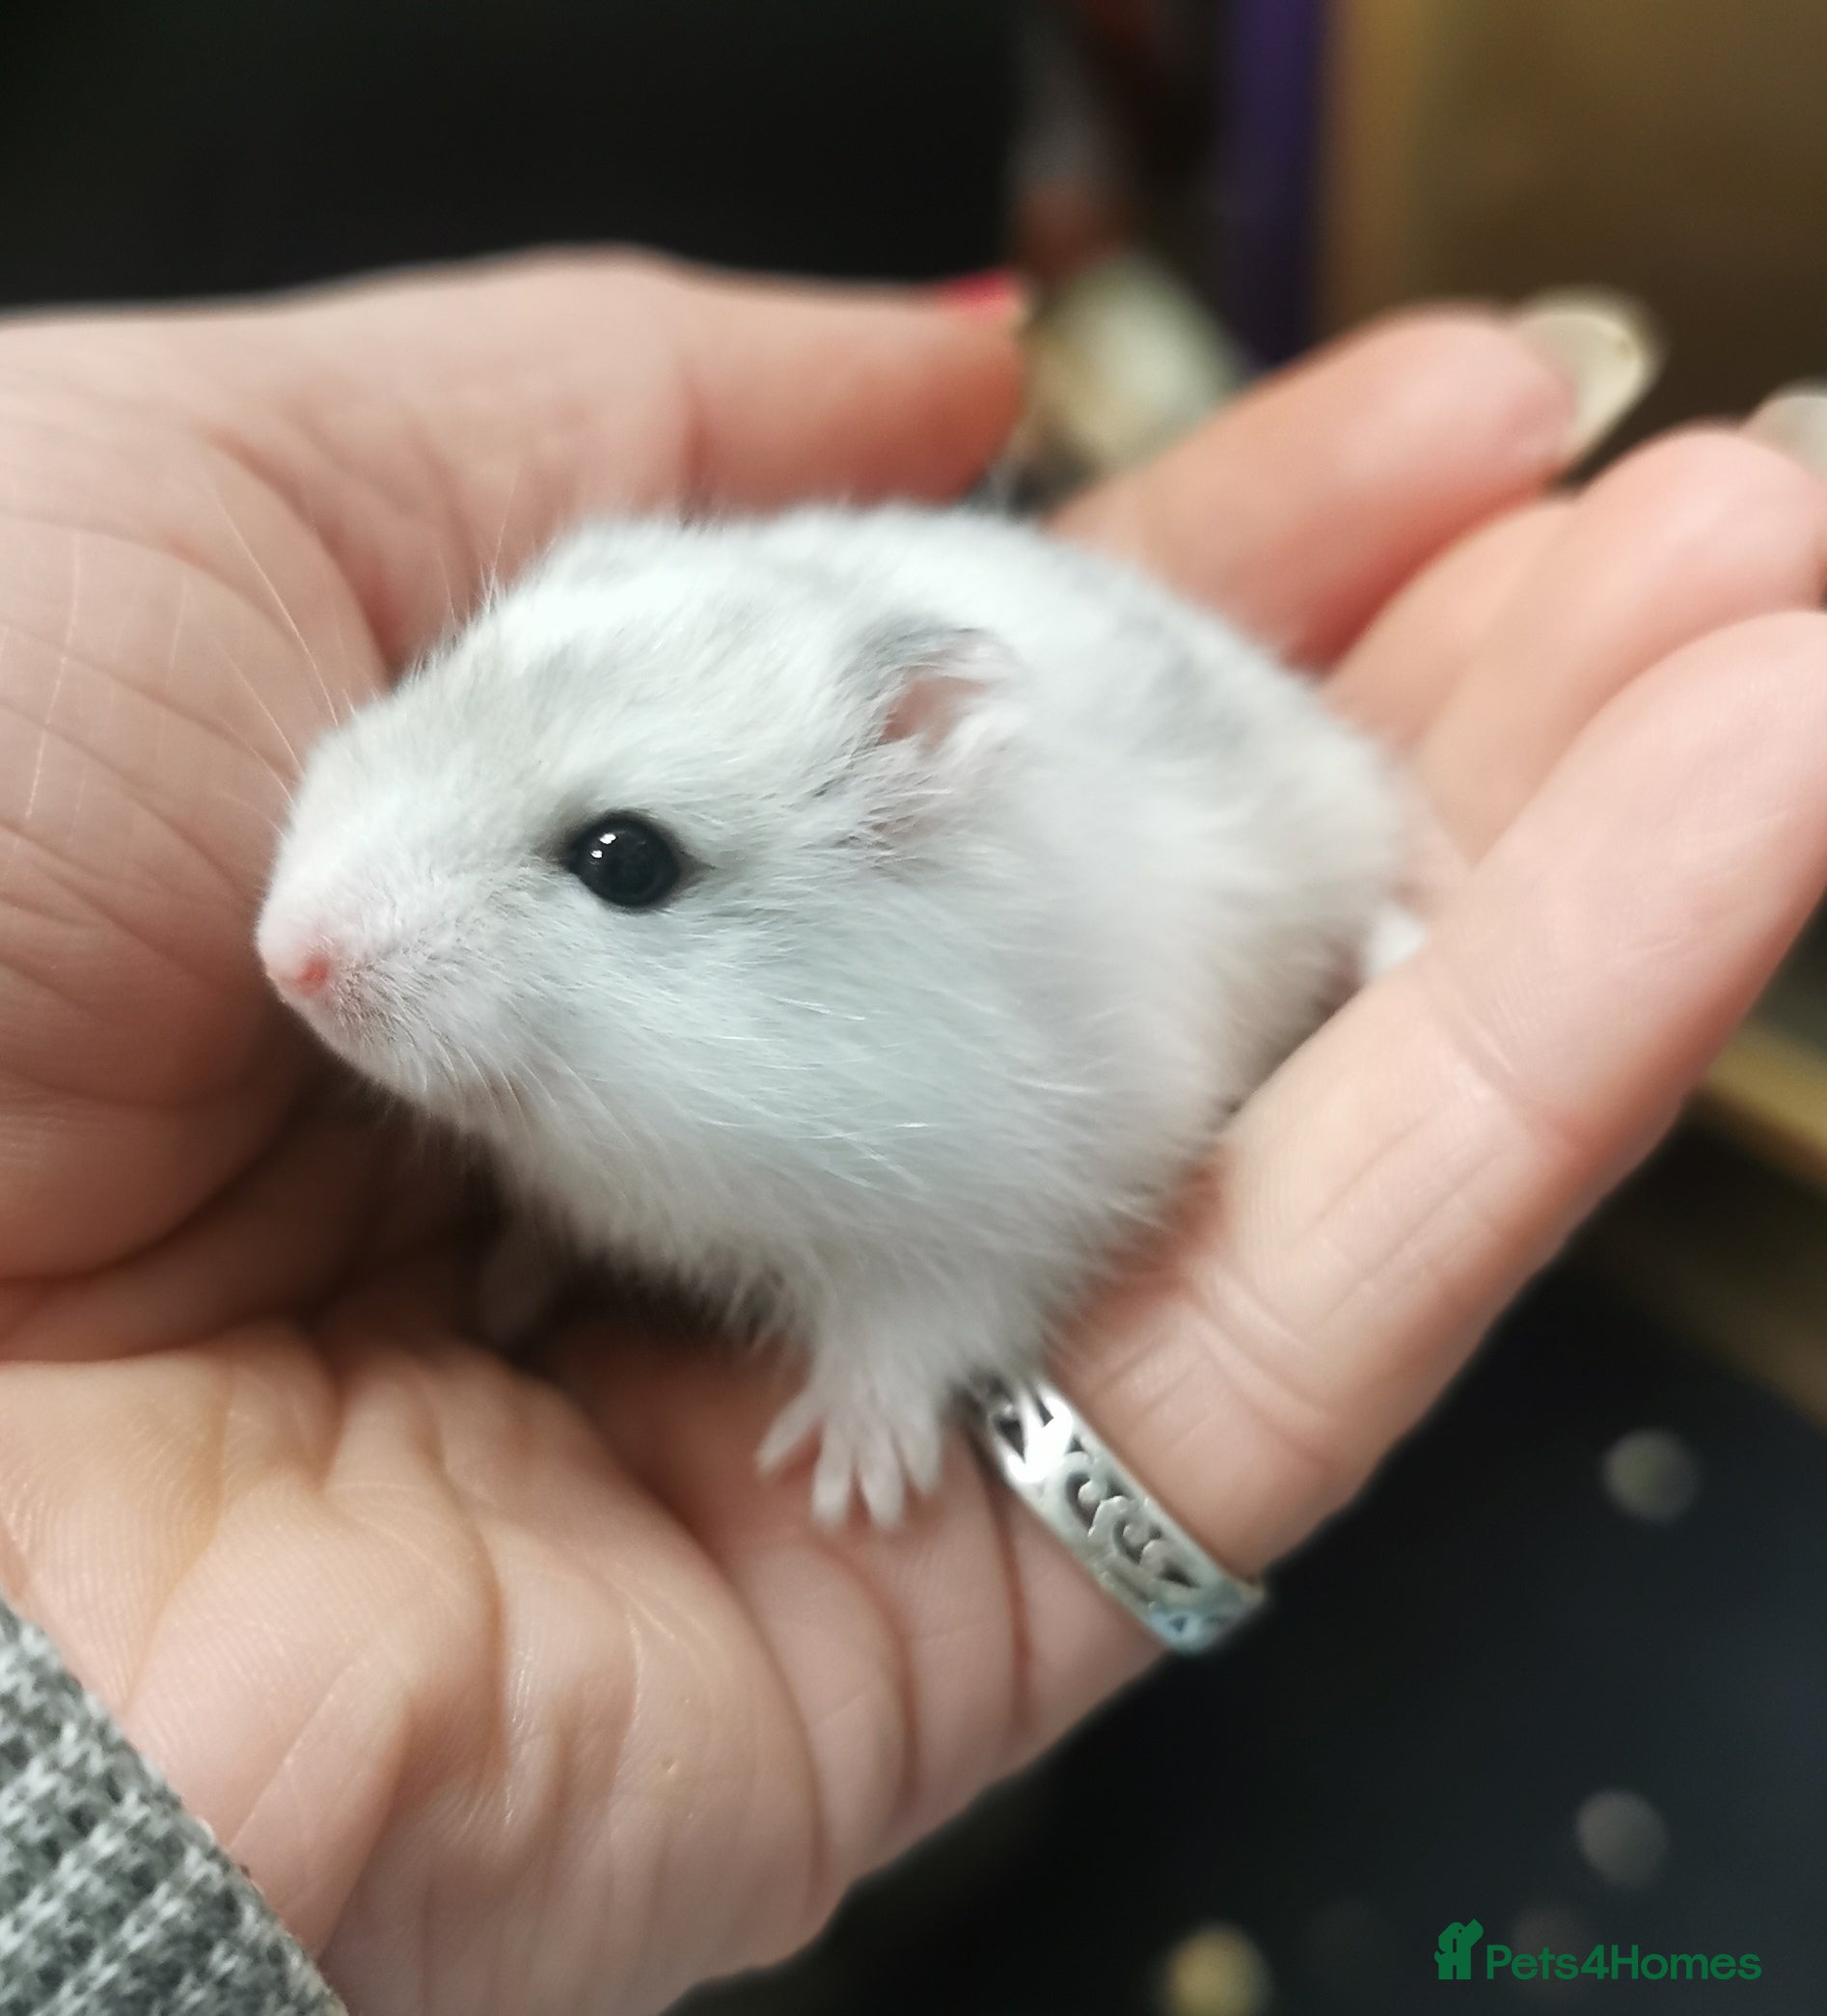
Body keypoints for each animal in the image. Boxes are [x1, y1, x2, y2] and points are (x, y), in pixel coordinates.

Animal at [257, 504, 1405, 1527]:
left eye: (626, 862)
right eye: (435, 672)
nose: (282, 958)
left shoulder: (1014, 1207)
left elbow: (915, 1331)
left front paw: (849, 1486)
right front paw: (496, 1297)